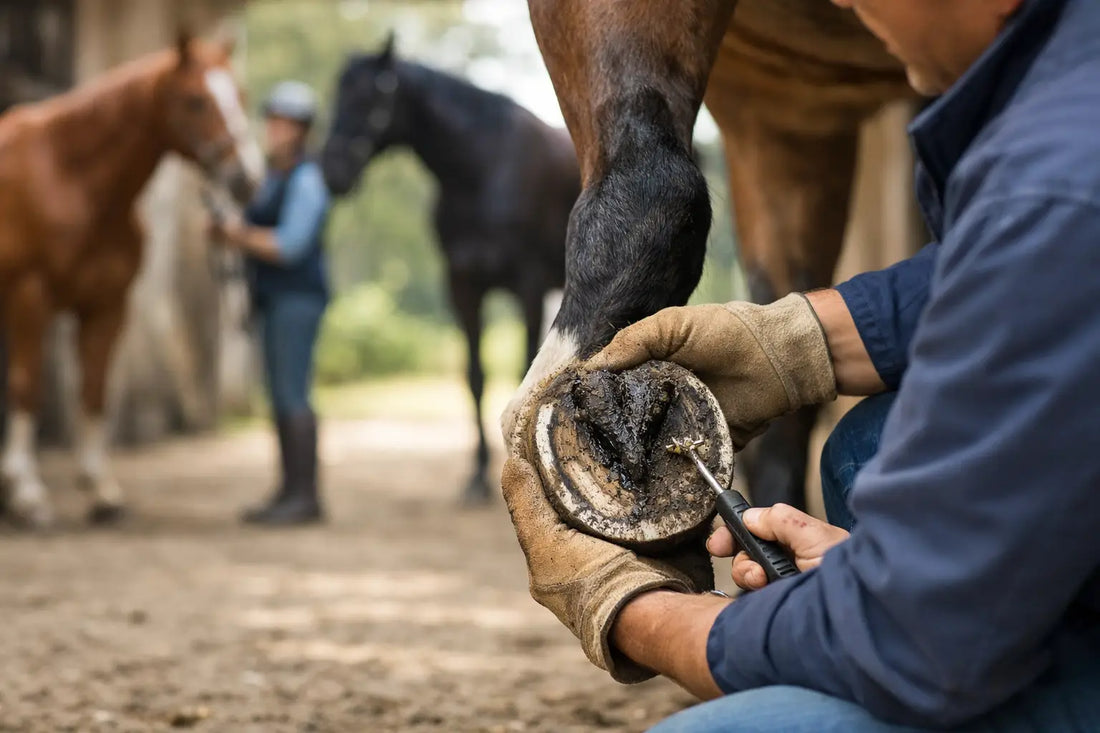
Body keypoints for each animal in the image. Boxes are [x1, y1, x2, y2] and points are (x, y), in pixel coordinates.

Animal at [0, 32, 263, 527]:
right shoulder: (29, 297)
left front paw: (100, 489)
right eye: (196, 100)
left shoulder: (107, 305)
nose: (246, 179)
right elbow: (28, 387)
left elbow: (95, 389)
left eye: (240, 96)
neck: (69, 178)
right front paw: (27, 494)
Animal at [321, 36, 580, 505]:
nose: (332, 170)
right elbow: (475, 377)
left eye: (369, 97)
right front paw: (476, 477)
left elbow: (522, 369)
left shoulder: (527, 284)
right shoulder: (462, 284)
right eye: (337, 93)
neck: (482, 169)